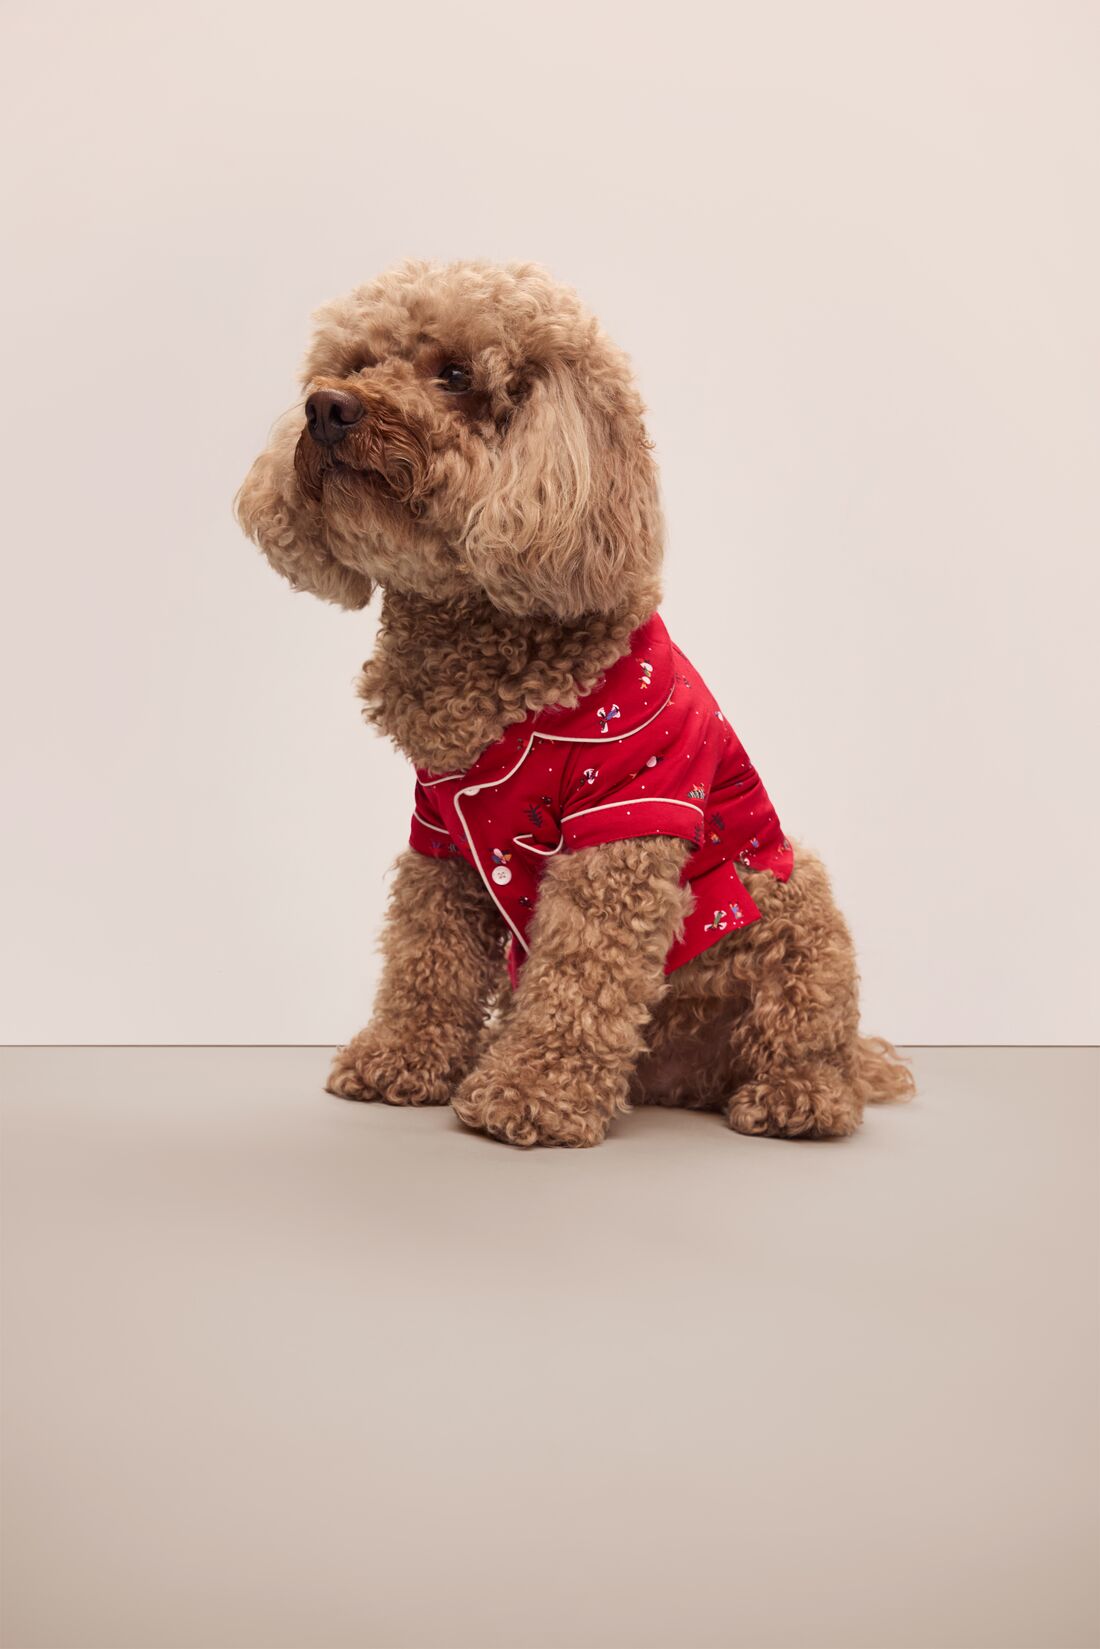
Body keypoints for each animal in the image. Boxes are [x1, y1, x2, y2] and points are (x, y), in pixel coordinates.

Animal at [237, 263, 916, 1154]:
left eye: (455, 374)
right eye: (353, 363)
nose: (326, 408)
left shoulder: (624, 817)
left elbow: (580, 971)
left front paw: (534, 1091)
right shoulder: (442, 833)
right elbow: (426, 951)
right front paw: (404, 1056)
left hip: (796, 906)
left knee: (815, 1043)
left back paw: (795, 1095)